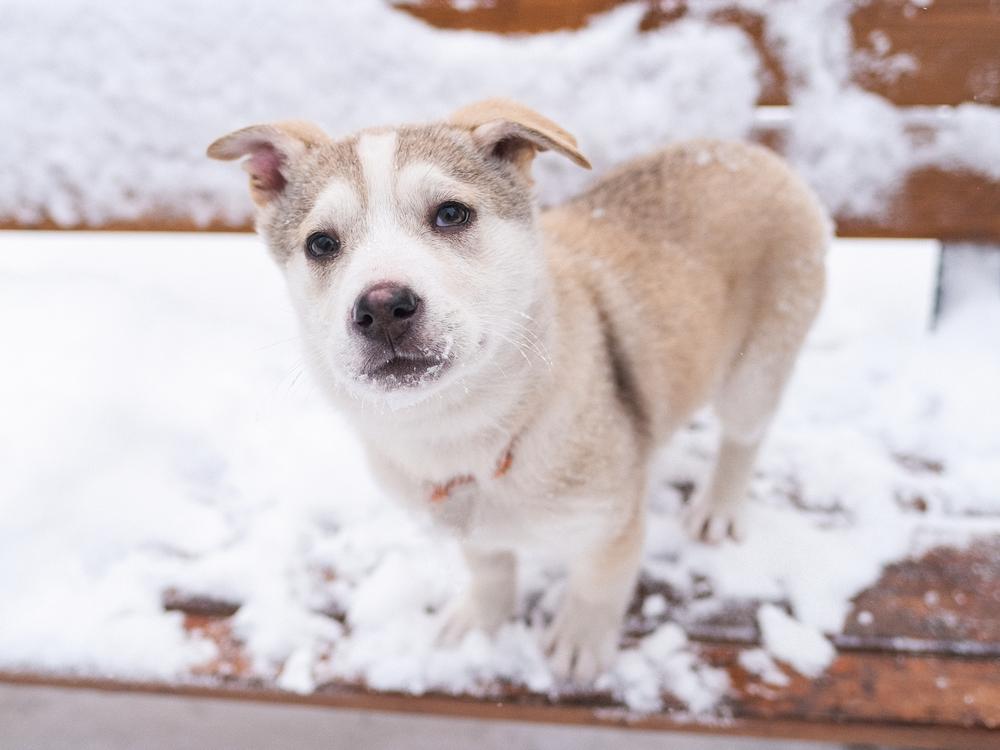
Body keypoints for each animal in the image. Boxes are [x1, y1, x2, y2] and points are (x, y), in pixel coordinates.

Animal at [209, 101, 828, 688]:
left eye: (451, 213)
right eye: (321, 244)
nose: (382, 307)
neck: (463, 430)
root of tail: (747, 151)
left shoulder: (611, 525)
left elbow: (598, 584)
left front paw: (579, 643)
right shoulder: (473, 528)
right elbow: (489, 570)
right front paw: (481, 622)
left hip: (758, 368)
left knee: (743, 438)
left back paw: (717, 507)